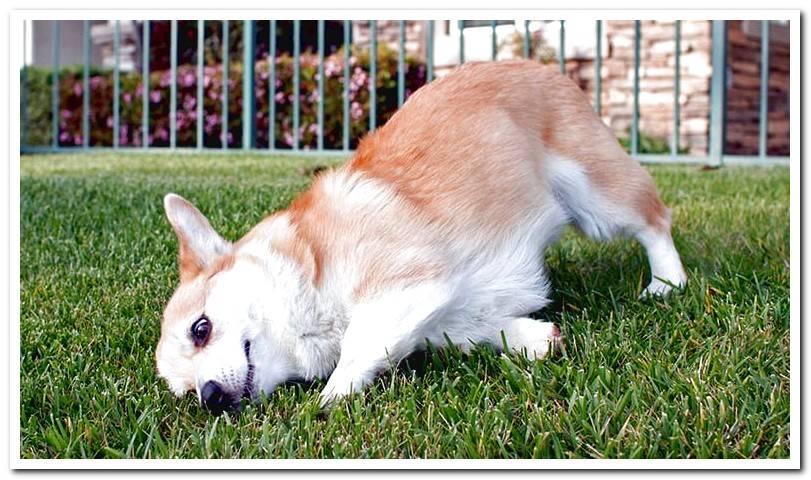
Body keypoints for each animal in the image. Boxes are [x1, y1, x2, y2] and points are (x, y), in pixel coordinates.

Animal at [157, 60, 684, 414]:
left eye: (200, 328)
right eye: (186, 391)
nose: (210, 398)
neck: (306, 270)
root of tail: (532, 64)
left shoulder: (404, 284)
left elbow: (359, 344)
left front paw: (330, 397)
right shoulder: (445, 315)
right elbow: (485, 332)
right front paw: (535, 339)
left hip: (596, 197)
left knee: (654, 219)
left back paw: (667, 282)